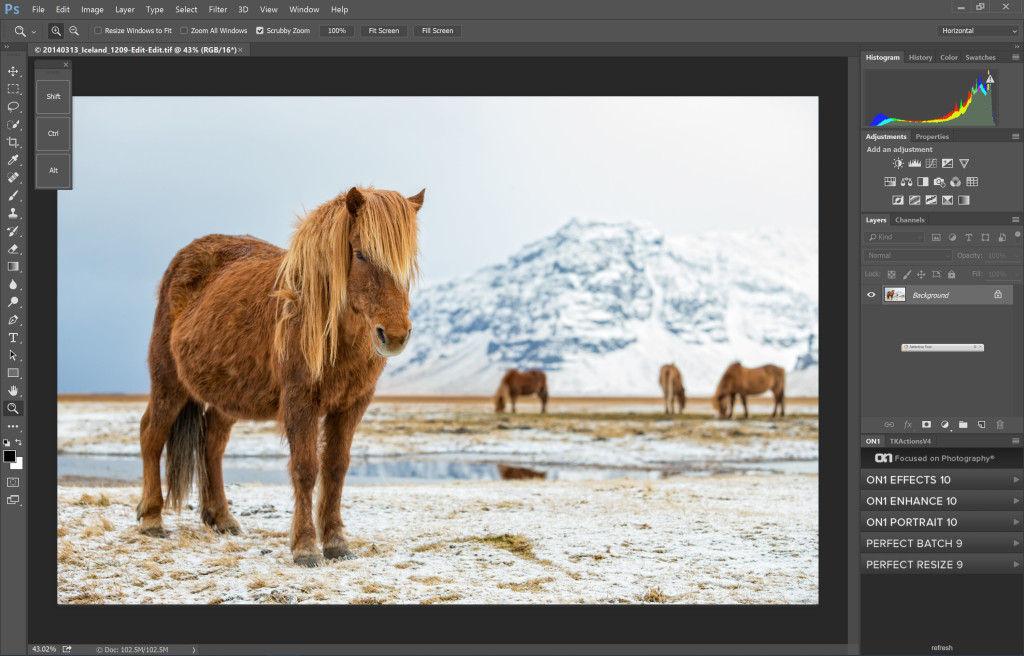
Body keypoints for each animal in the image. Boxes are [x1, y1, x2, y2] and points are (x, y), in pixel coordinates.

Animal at [137, 186, 423, 564]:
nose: (394, 335)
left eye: (408, 261)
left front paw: (336, 542)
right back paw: (152, 519)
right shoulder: (299, 400)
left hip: (227, 398)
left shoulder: (352, 404)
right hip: (169, 382)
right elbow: (305, 468)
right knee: (152, 435)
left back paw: (222, 518)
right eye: (361, 254)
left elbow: (336, 468)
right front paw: (305, 547)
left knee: (211, 446)